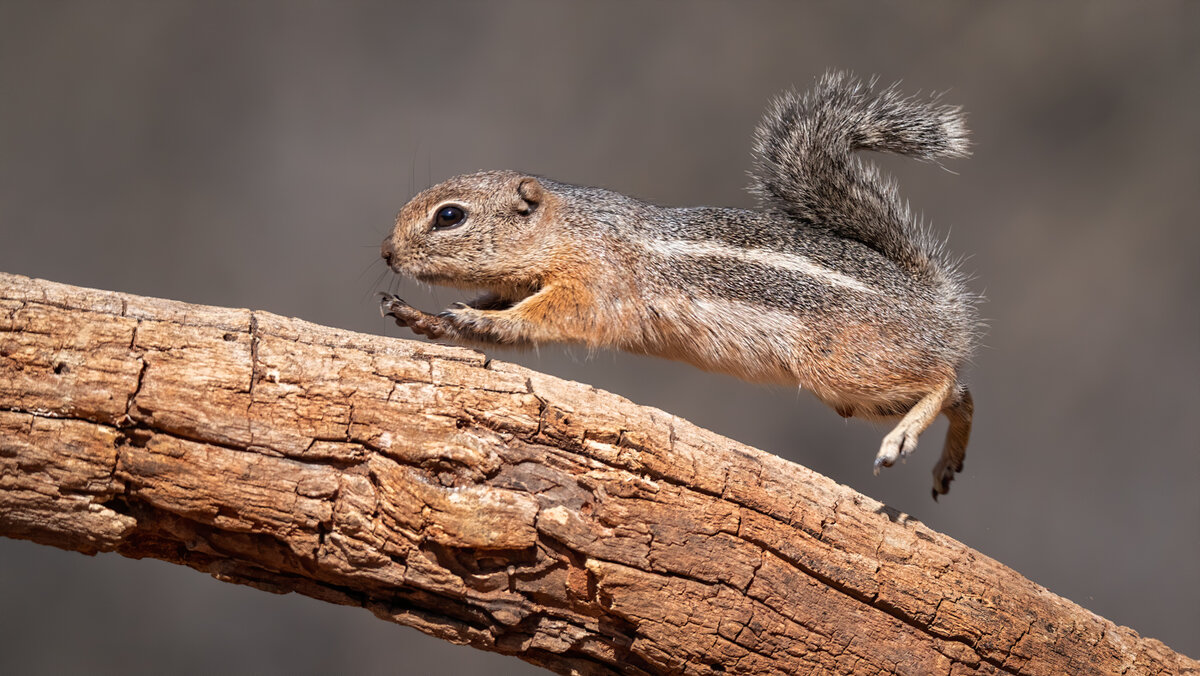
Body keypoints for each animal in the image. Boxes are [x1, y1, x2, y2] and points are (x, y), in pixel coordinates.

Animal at [379, 71, 979, 499]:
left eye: (450, 216)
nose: (386, 253)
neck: (570, 228)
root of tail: (939, 305)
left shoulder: (591, 288)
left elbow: (536, 320)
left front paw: (470, 317)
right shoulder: (524, 283)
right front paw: (425, 318)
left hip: (848, 368)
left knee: (947, 380)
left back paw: (903, 439)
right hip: (851, 395)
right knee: (963, 394)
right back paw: (948, 465)